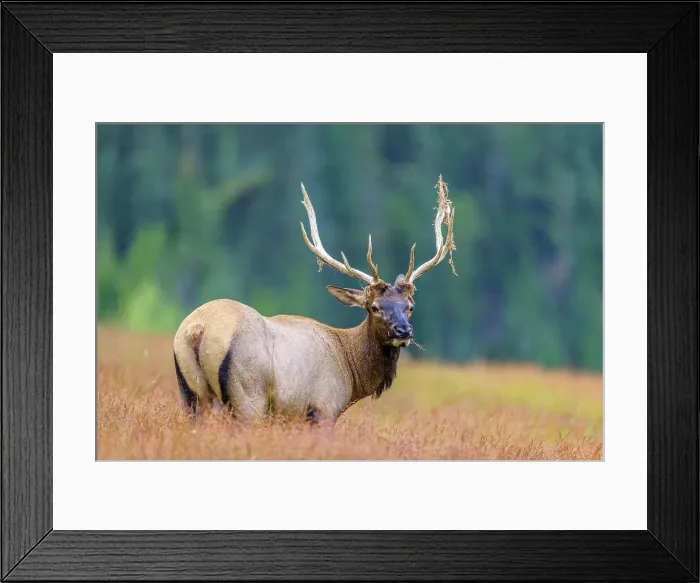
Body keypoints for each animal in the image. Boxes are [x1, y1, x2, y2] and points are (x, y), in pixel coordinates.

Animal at [172, 176, 457, 427]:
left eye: (410, 306)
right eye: (374, 307)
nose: (403, 330)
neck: (351, 373)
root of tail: (197, 329)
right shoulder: (323, 408)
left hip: (191, 394)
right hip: (247, 397)